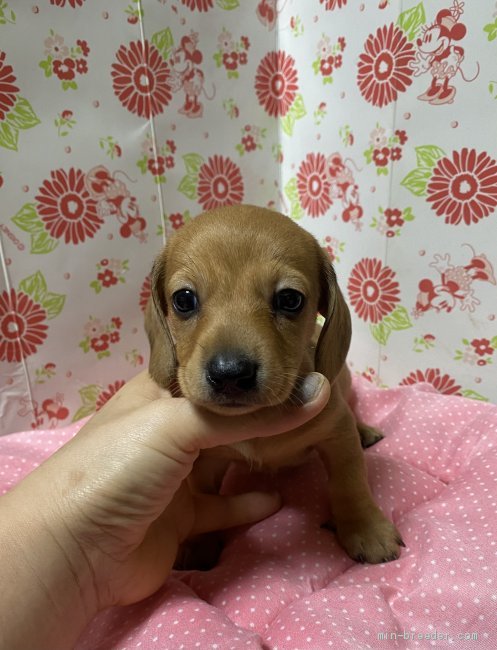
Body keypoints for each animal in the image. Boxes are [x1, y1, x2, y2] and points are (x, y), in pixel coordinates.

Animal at [143, 205, 404, 564]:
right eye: (183, 299)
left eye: (290, 299)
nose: (230, 373)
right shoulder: (203, 463)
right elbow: (203, 502)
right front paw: (199, 544)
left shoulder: (338, 434)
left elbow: (349, 482)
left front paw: (366, 528)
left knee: (353, 409)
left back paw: (365, 429)